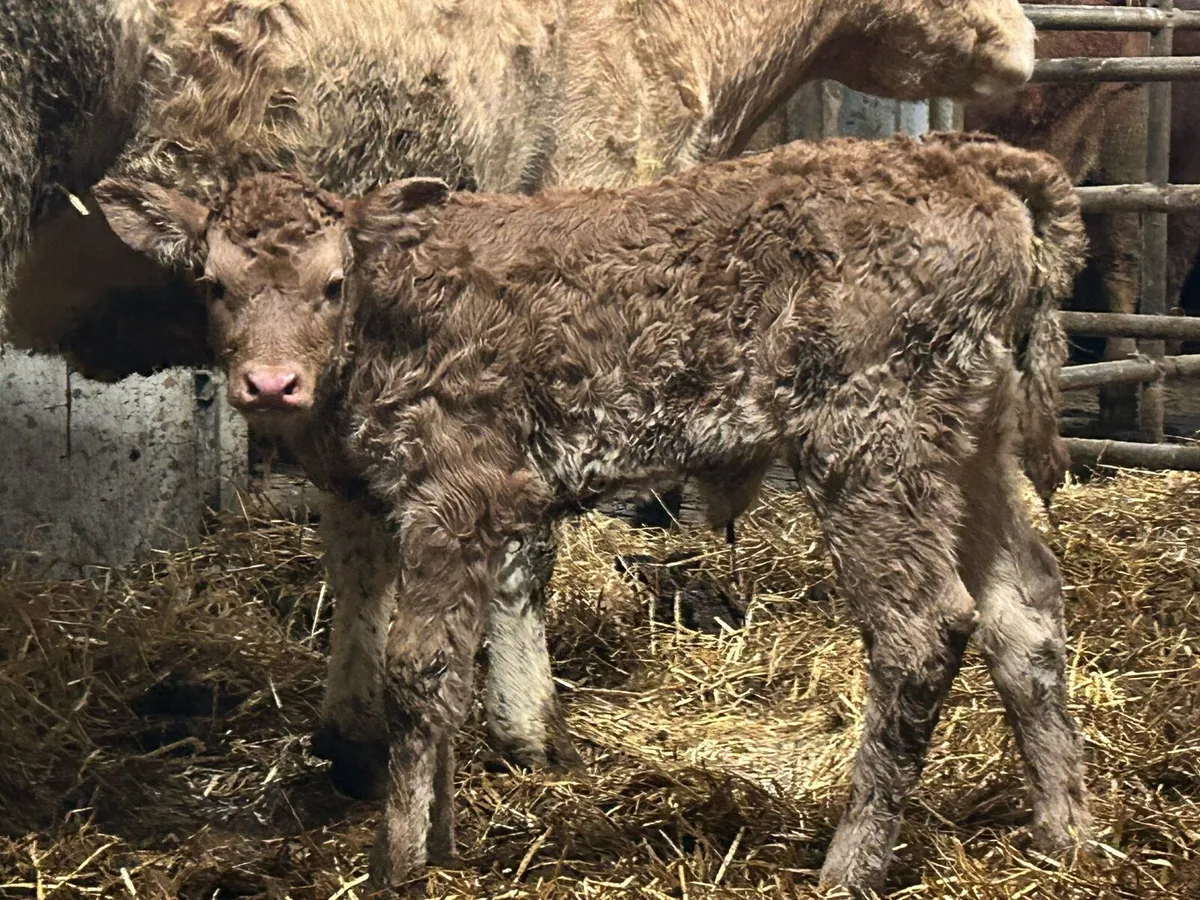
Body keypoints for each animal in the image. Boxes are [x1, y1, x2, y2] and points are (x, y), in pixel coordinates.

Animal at [93, 130, 1092, 894]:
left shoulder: (454, 488)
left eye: (333, 283)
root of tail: (975, 161)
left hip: (871, 436)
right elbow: (448, 672)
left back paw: (849, 867)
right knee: (1026, 614)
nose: (269, 384)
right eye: (215, 285)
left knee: (923, 629)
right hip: (975, 438)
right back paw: (1065, 834)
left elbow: (418, 670)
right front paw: (443, 841)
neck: (387, 326)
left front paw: (398, 862)